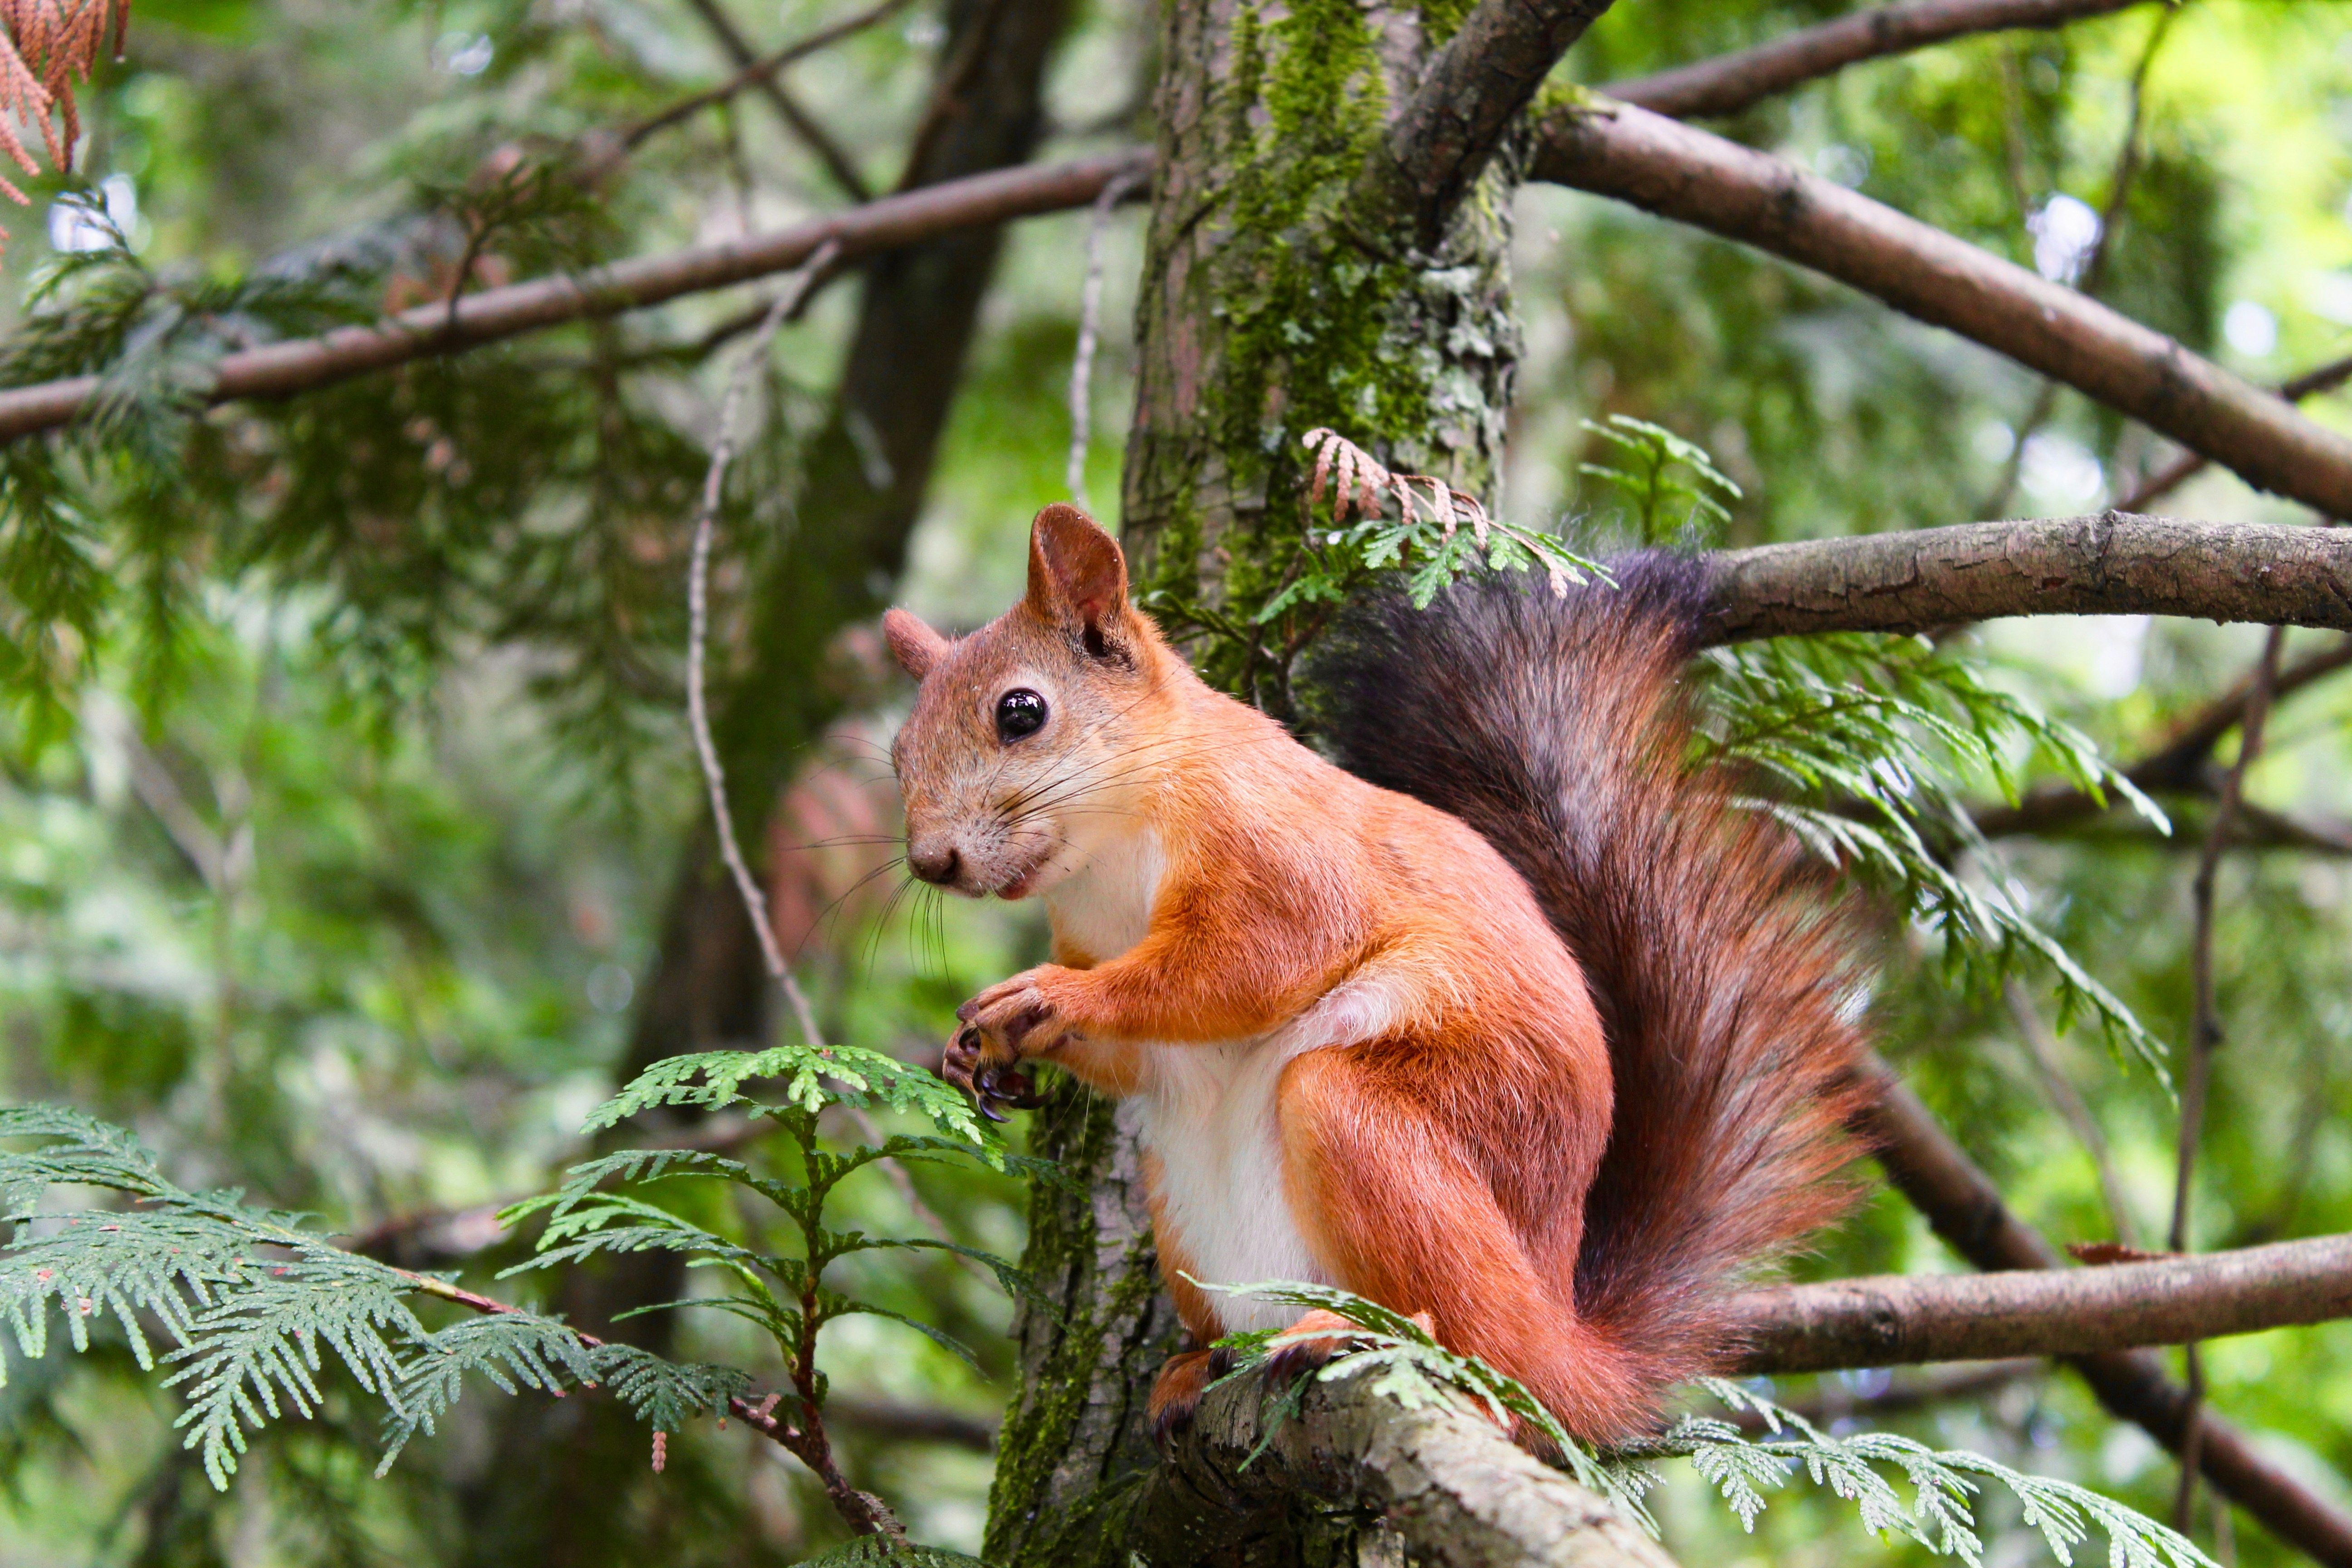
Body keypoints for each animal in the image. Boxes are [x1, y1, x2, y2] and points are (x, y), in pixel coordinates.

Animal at [884, 503, 1872, 1448]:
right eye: (897, 753)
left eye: (1021, 712)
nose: (930, 862)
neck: (1110, 854)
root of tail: (1567, 1342)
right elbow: (1141, 1054)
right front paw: (982, 1054)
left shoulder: (1280, 855)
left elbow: (1242, 967)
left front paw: (1049, 997)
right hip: (1182, 1207)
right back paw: (1198, 1365)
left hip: (1376, 1126)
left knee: (1484, 1357)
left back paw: (1359, 1335)